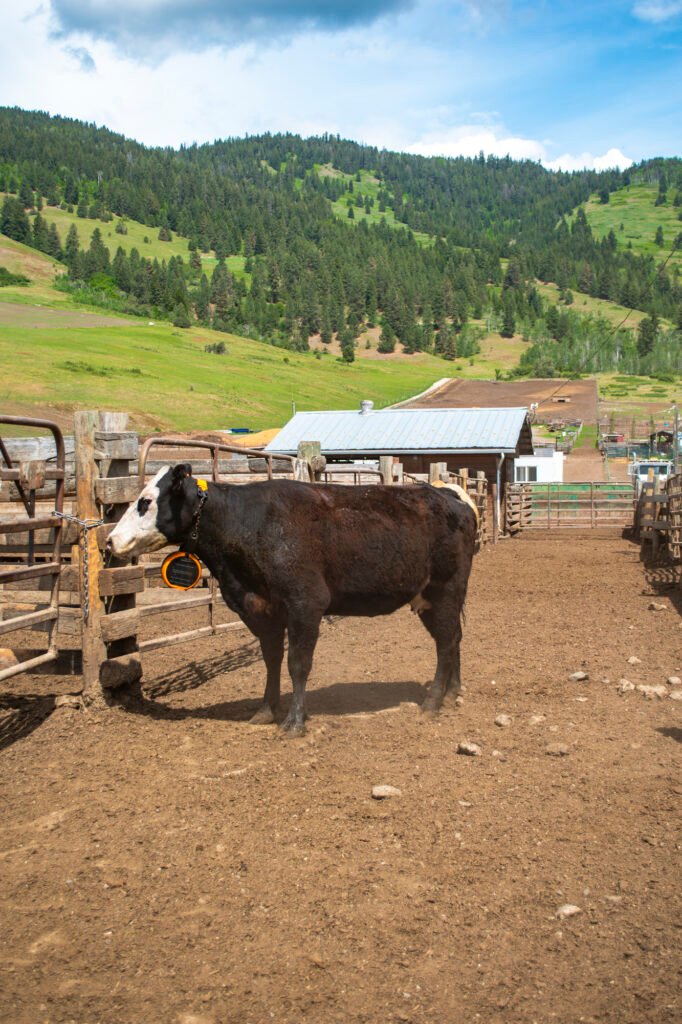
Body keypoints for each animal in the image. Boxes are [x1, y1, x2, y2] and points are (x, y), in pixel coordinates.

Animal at [107, 464, 477, 736]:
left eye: (145, 501)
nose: (110, 540)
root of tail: (448, 494)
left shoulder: (306, 604)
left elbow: (298, 663)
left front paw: (295, 722)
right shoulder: (260, 610)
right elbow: (272, 660)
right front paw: (266, 710)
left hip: (445, 590)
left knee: (447, 642)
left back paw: (433, 702)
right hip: (430, 599)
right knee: (452, 639)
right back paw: (453, 692)